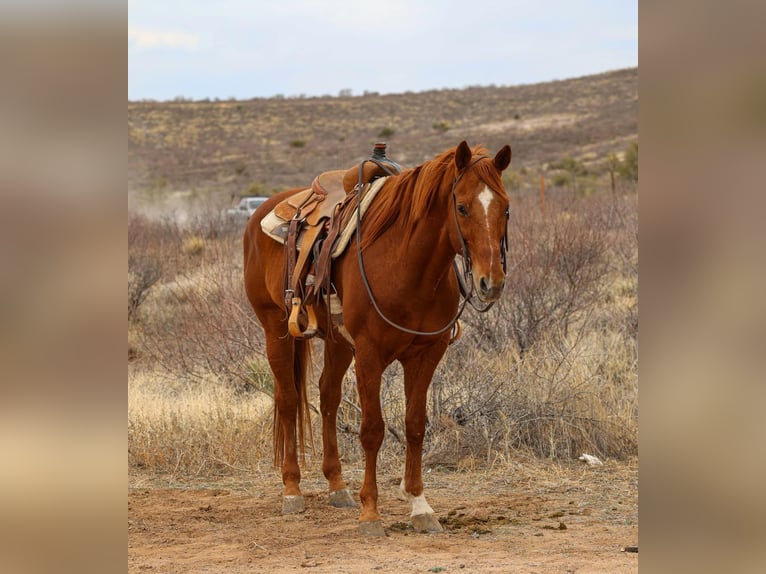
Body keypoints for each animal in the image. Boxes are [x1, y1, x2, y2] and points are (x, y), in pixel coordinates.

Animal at [243, 141, 512, 536]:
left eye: (505, 207)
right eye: (461, 206)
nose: (490, 282)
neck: (407, 264)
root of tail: (261, 211)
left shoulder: (426, 354)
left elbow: (415, 426)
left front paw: (420, 505)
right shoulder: (370, 355)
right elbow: (372, 429)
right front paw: (370, 512)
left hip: (337, 343)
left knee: (327, 397)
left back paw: (337, 486)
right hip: (274, 328)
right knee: (289, 399)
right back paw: (292, 490)